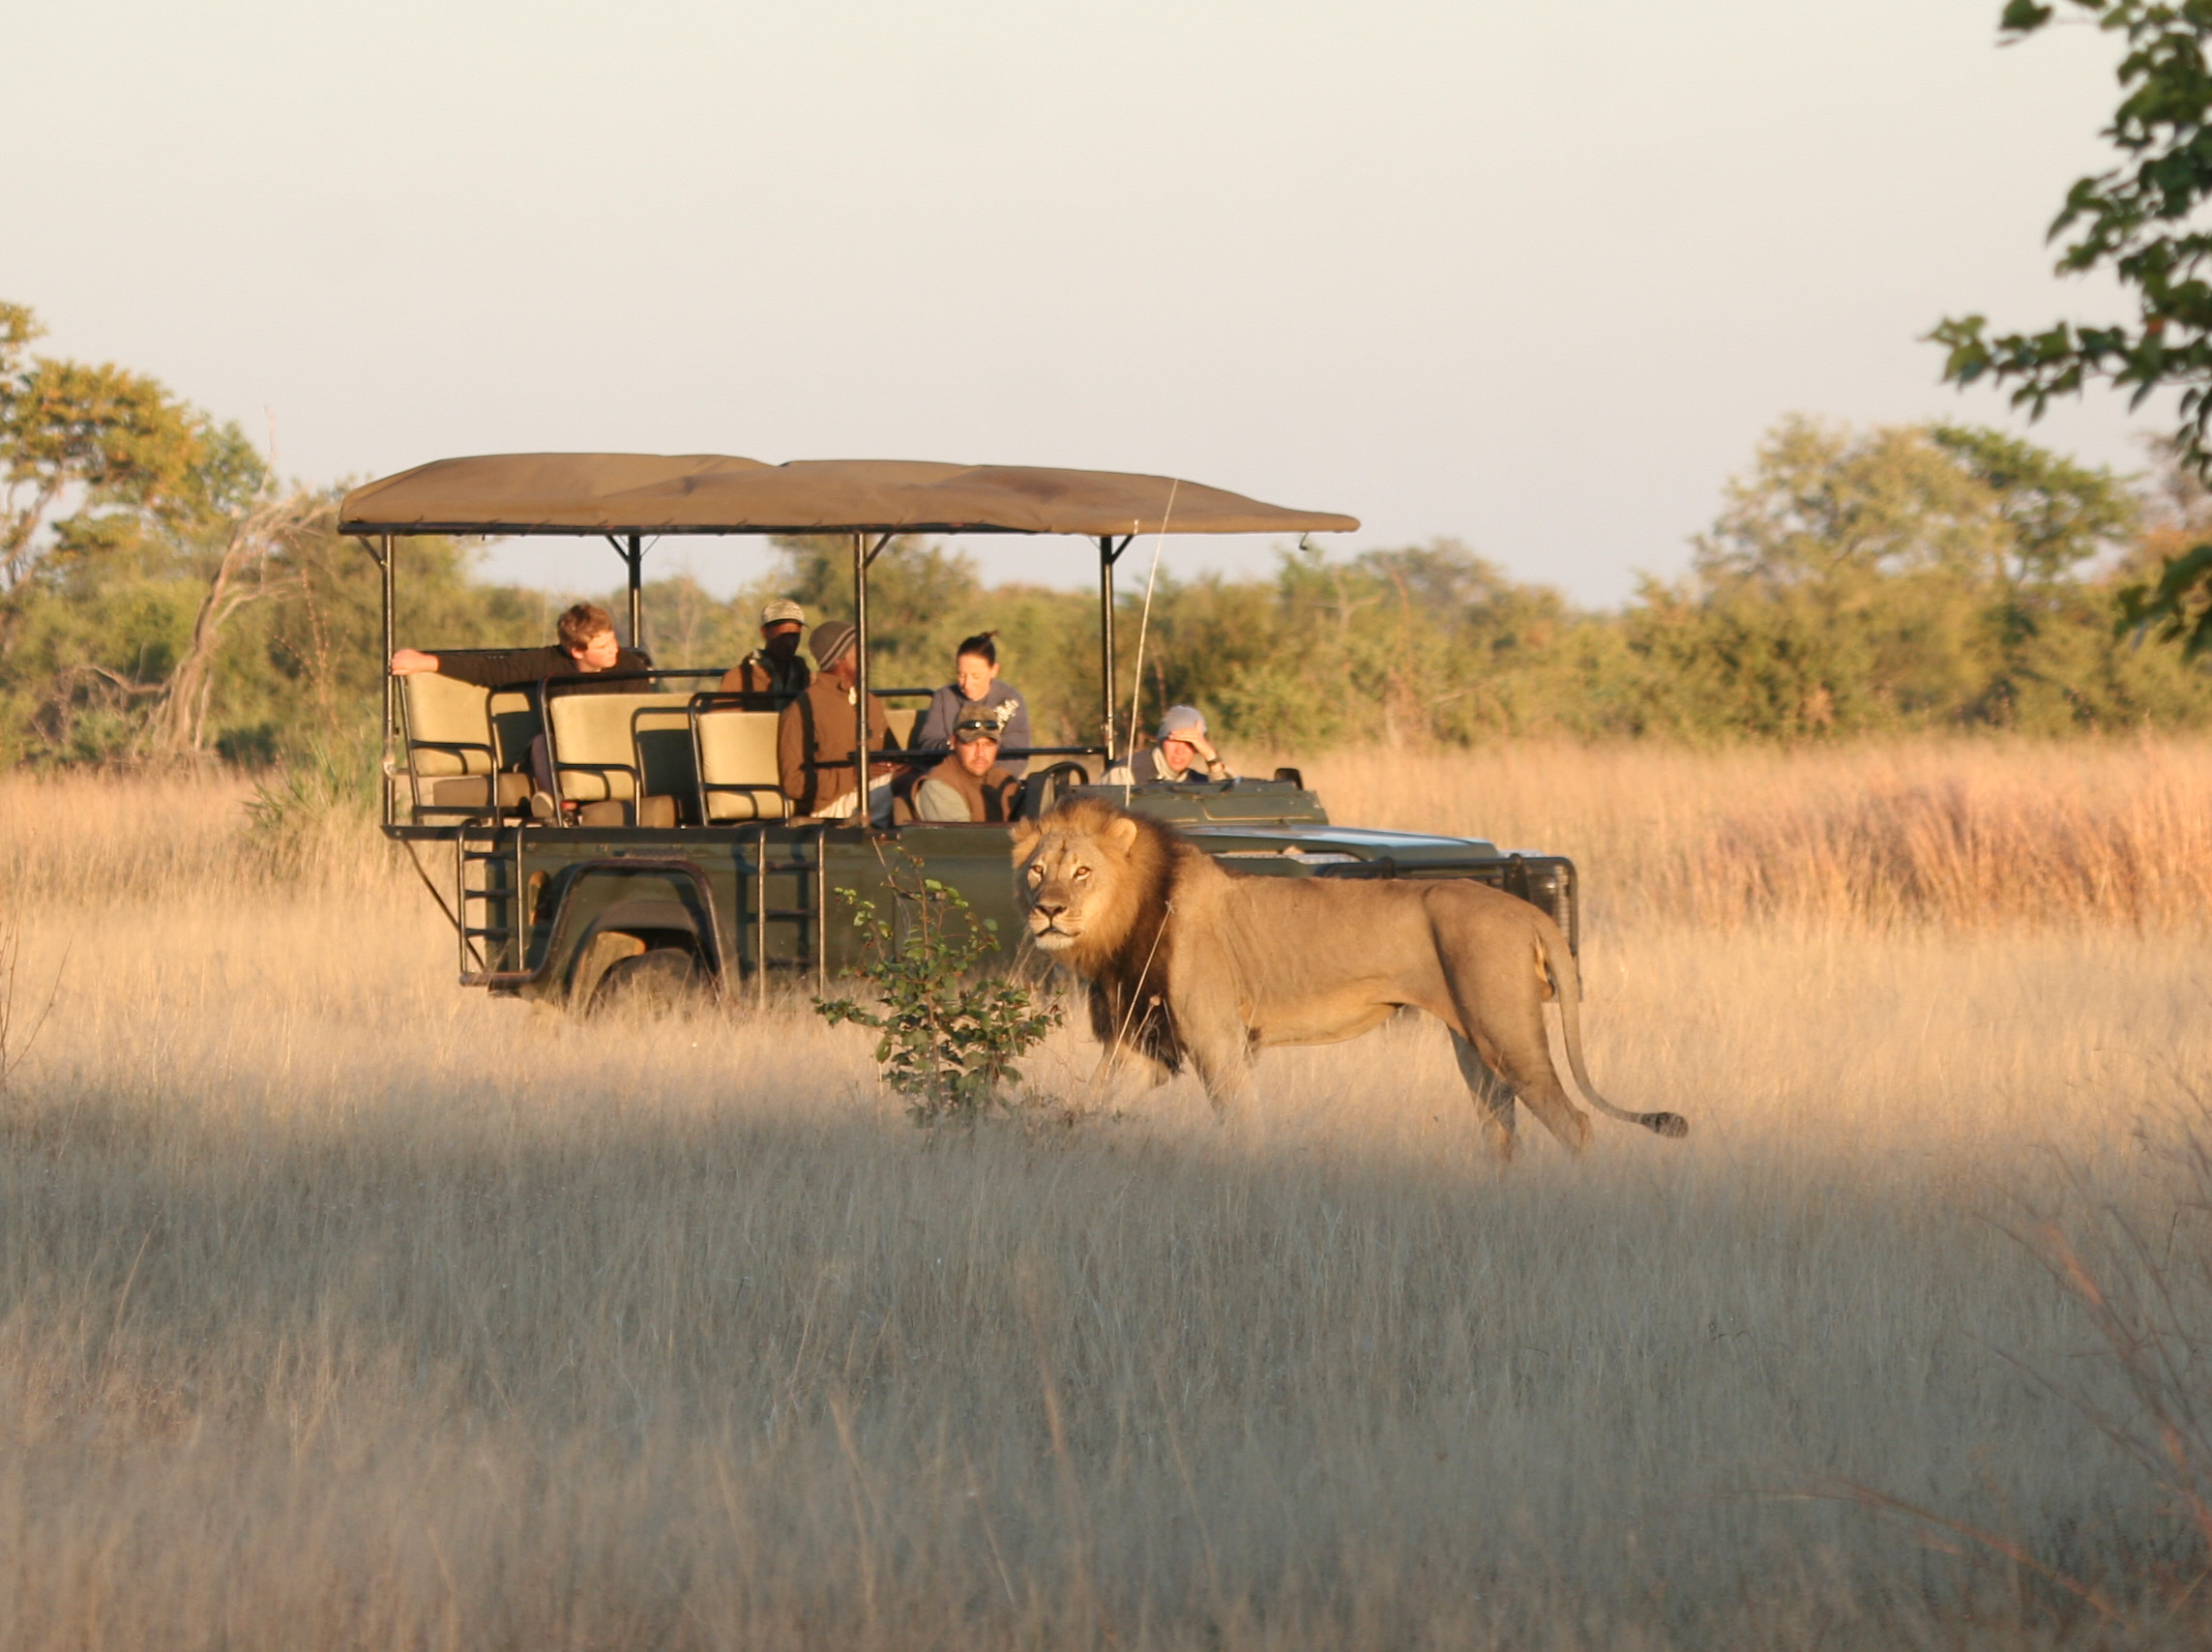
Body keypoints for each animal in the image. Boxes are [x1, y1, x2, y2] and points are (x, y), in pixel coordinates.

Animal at [1013, 796, 1681, 1159]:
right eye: (1037, 870)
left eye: (1082, 872)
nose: (1046, 911)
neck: (1126, 921)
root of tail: (1526, 909)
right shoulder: (1141, 1045)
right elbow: (1087, 1108)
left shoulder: (1217, 1041)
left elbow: (1242, 1126)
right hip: (1474, 1042)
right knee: (1500, 1129)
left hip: (1507, 1033)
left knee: (1575, 1123)